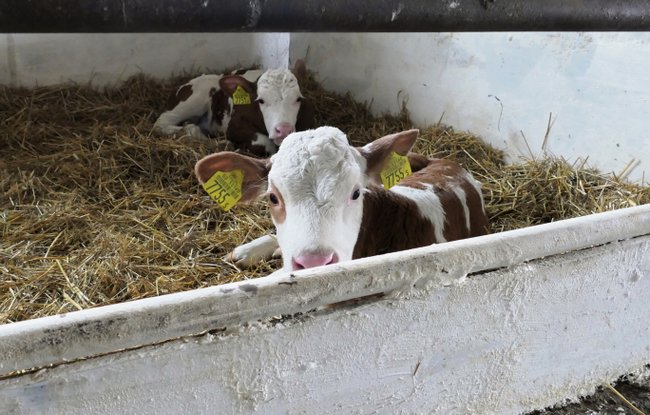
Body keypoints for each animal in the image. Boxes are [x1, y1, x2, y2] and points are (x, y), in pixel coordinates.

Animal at [153, 61, 314, 158]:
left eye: (298, 99)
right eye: (261, 100)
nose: (284, 129)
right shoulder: (233, 126)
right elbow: (262, 142)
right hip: (196, 97)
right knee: (162, 123)